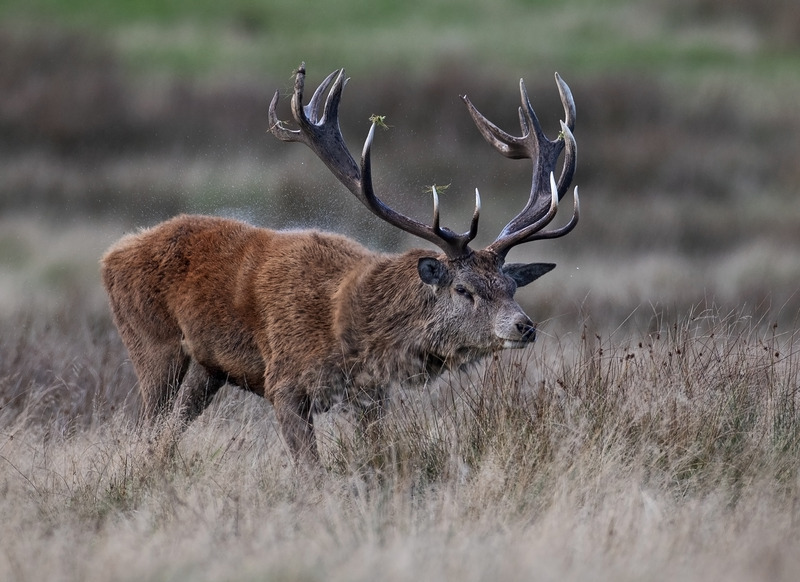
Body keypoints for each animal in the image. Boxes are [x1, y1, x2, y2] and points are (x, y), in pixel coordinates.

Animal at [101, 63, 579, 464]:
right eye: (463, 289)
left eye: (511, 286)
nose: (524, 326)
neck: (352, 334)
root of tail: (112, 254)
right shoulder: (284, 383)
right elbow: (311, 471)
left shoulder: (370, 395)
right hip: (151, 344)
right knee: (149, 423)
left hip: (207, 367)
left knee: (171, 428)